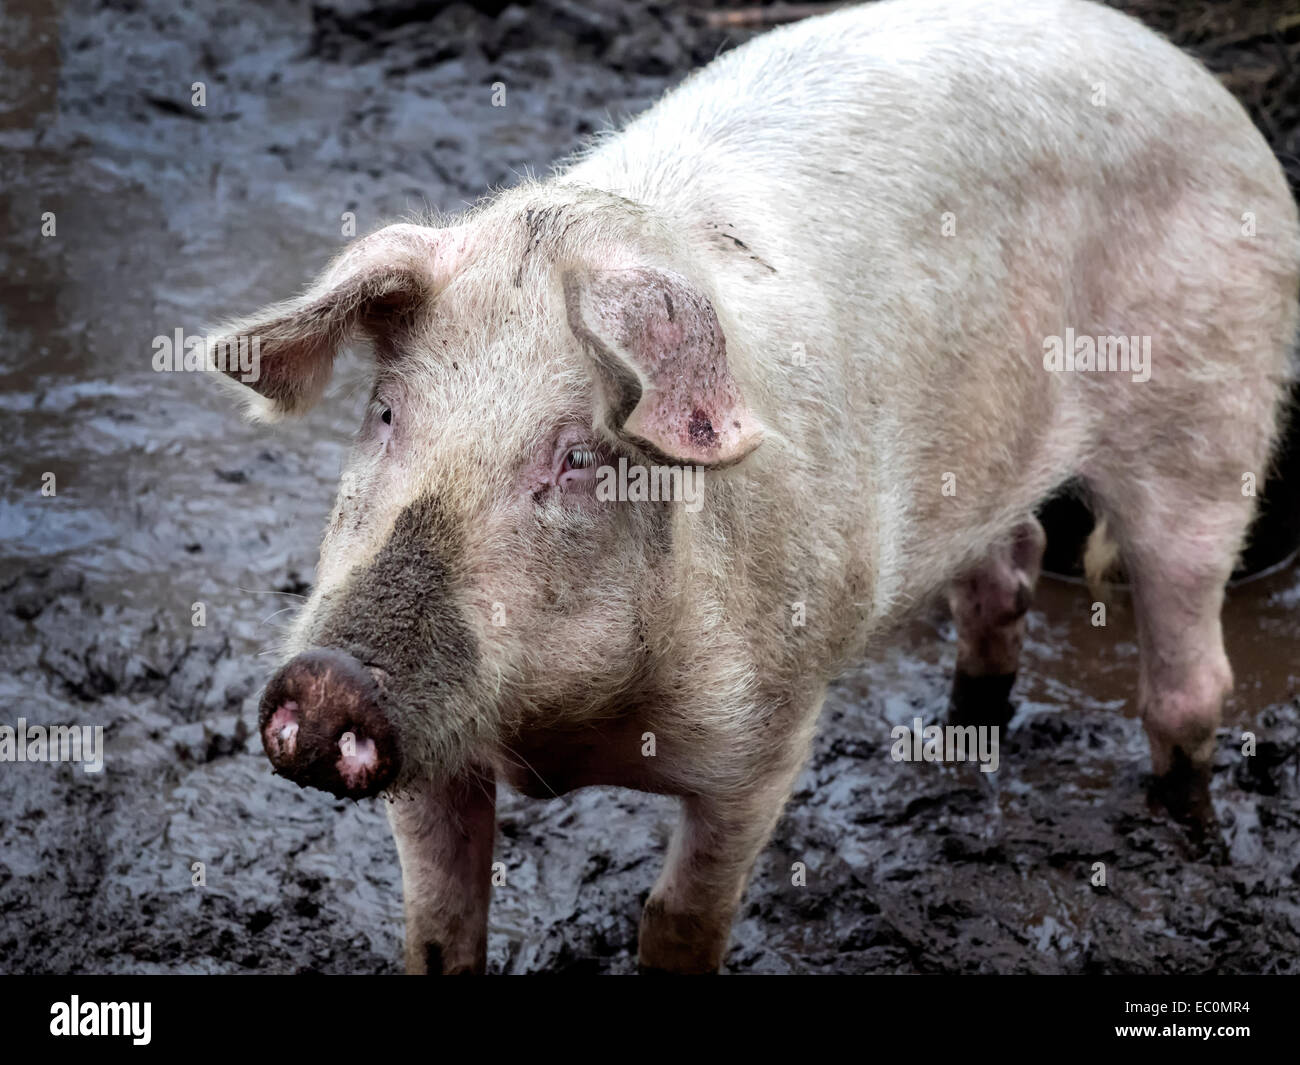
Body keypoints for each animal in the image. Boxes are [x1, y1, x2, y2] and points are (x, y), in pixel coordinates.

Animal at [208, 0, 1294, 972]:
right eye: (387, 413)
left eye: (578, 456)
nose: (328, 677)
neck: (564, 732)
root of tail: (1195, 78)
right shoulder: (437, 765)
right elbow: (440, 930)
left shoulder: (767, 734)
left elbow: (681, 923)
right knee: (1004, 578)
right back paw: (964, 741)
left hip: (1210, 416)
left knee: (1190, 673)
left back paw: (1187, 829)